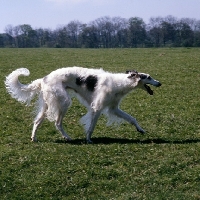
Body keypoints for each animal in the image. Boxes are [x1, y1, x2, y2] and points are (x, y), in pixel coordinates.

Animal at [4, 66, 161, 143]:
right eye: (148, 77)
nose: (160, 83)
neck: (119, 82)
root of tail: (43, 79)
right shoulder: (97, 108)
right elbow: (91, 127)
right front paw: (88, 139)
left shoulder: (114, 108)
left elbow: (131, 118)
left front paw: (140, 130)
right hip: (64, 102)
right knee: (57, 123)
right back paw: (67, 137)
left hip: (48, 104)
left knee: (37, 122)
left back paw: (34, 138)